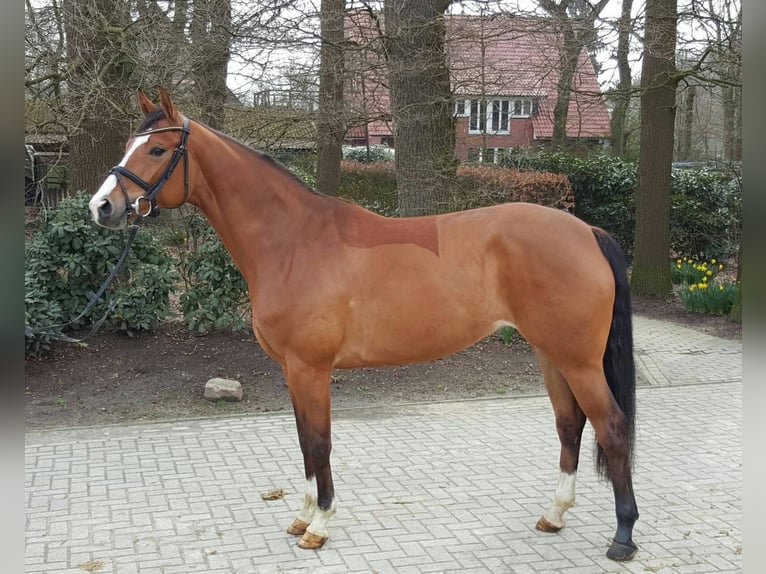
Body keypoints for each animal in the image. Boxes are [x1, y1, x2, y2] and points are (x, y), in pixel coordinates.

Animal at [89, 88, 639, 561]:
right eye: (129, 144)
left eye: (157, 149)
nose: (102, 207)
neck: (295, 242)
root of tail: (586, 231)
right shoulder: (292, 371)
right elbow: (303, 441)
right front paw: (302, 514)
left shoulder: (310, 369)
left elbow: (319, 442)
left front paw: (319, 525)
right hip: (551, 354)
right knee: (570, 425)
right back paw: (554, 515)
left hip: (578, 360)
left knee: (612, 427)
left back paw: (623, 536)